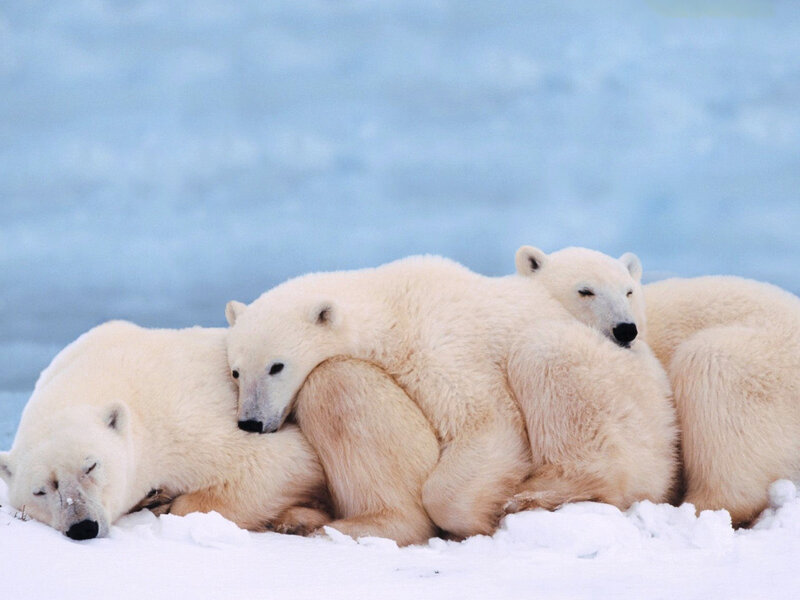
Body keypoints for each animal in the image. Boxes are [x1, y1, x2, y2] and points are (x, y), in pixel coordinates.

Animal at [0, 321, 332, 540]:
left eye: (91, 466)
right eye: (40, 490)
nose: (83, 527)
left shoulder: (187, 421)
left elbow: (283, 460)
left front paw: (165, 502)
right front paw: (153, 497)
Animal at [224, 255, 678, 538]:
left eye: (276, 366)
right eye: (236, 371)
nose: (252, 422)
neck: (391, 305)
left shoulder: (439, 344)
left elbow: (486, 421)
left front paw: (479, 517)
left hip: (620, 393)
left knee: (544, 354)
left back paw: (540, 493)